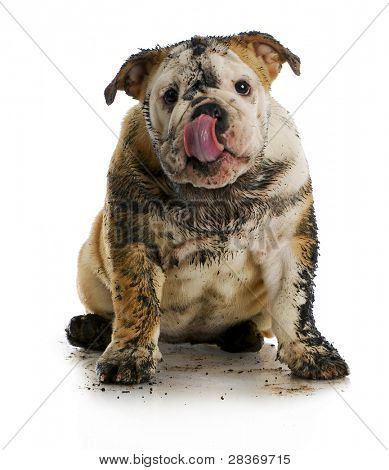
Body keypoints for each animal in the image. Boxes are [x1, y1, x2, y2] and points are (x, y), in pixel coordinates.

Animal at [66, 31, 348, 384]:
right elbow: (137, 300)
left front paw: (312, 353)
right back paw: (90, 329)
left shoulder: (287, 244)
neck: (218, 193)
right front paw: (129, 356)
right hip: (87, 265)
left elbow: (293, 303)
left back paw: (241, 335)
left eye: (242, 87)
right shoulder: (136, 242)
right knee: (109, 311)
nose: (208, 109)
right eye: (170, 96)